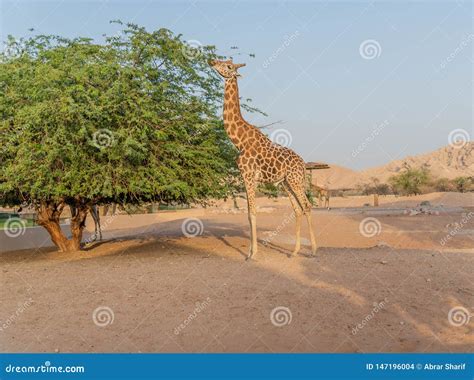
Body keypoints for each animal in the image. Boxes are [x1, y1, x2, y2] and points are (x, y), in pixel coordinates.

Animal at [210, 59, 314, 260]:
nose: (211, 61)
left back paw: (313, 250)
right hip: (286, 183)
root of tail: (303, 164)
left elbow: (252, 212)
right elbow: (248, 213)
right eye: (222, 61)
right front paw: (251, 251)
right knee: (297, 209)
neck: (238, 140)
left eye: (228, 66)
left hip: (295, 180)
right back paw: (295, 252)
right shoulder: (245, 176)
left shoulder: (249, 175)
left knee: (307, 206)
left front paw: (253, 254)